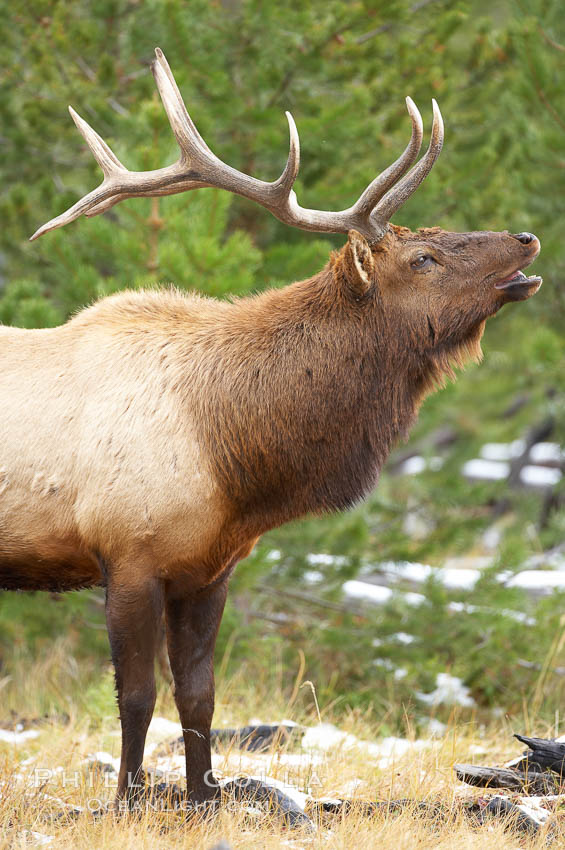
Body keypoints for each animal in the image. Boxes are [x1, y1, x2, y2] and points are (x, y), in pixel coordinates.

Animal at [6, 49, 540, 804]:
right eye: (423, 258)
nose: (525, 237)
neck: (233, 458)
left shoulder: (208, 567)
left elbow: (199, 696)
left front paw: (203, 798)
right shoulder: (128, 552)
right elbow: (136, 696)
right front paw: (127, 800)